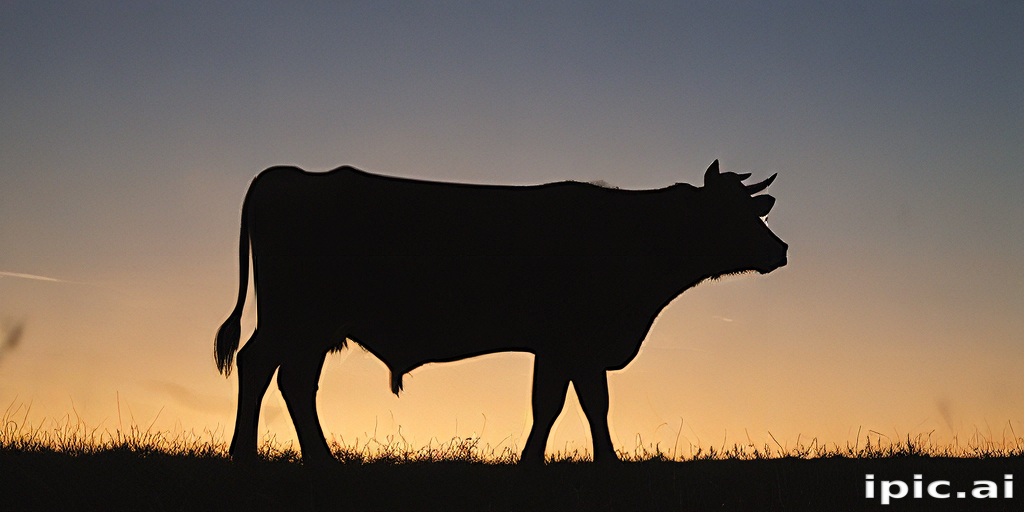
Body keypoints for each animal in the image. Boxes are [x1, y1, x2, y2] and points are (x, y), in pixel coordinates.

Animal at [215, 160, 787, 464]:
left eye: (751, 208)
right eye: (732, 211)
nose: (780, 249)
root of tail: (291, 173)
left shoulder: (569, 348)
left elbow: (574, 405)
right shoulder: (571, 341)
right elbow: (567, 405)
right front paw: (571, 462)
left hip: (311, 327)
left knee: (291, 380)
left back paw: (319, 460)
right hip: (296, 318)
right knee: (259, 366)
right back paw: (248, 455)